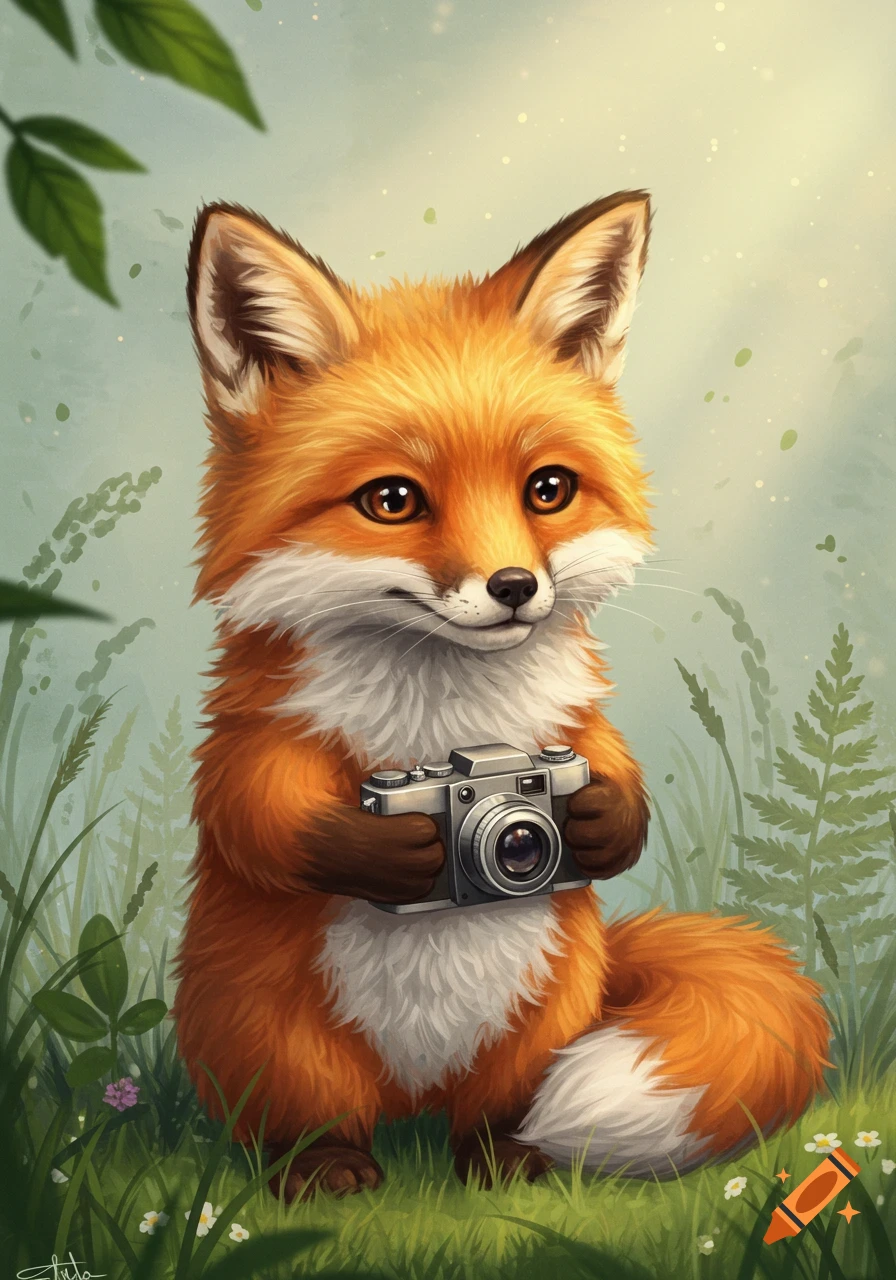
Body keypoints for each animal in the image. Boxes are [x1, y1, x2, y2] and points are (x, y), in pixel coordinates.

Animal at [172, 189, 830, 1202]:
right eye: (393, 500)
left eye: (547, 489)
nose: (516, 586)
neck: (456, 728)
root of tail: (413, 1097)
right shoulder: (256, 736)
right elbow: (261, 818)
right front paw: (390, 851)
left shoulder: (571, 732)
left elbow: (615, 779)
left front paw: (602, 822)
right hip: (274, 1038)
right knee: (307, 1117)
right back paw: (326, 1167)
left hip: (547, 1013)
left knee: (493, 1114)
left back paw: (509, 1160)